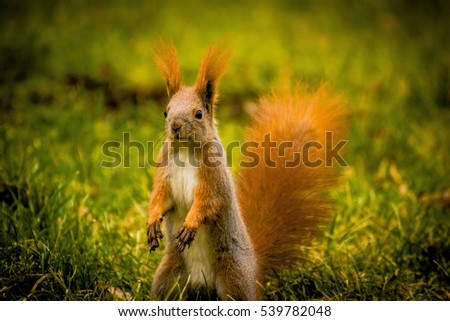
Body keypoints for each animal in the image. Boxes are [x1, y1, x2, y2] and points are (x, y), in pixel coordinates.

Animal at [146, 41, 346, 298]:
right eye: (166, 111)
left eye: (198, 113)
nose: (175, 126)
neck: (185, 151)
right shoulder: (165, 172)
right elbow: (161, 198)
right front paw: (152, 221)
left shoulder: (215, 180)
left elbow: (210, 202)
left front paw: (190, 223)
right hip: (169, 276)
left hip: (235, 277)